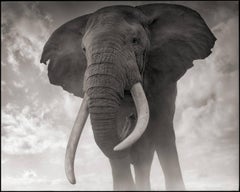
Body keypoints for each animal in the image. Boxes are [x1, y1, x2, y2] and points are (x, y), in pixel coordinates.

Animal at [40, 3, 217, 190]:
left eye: (135, 41)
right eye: (83, 49)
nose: (131, 117)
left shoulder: (164, 86)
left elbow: (163, 133)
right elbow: (115, 153)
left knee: (145, 159)